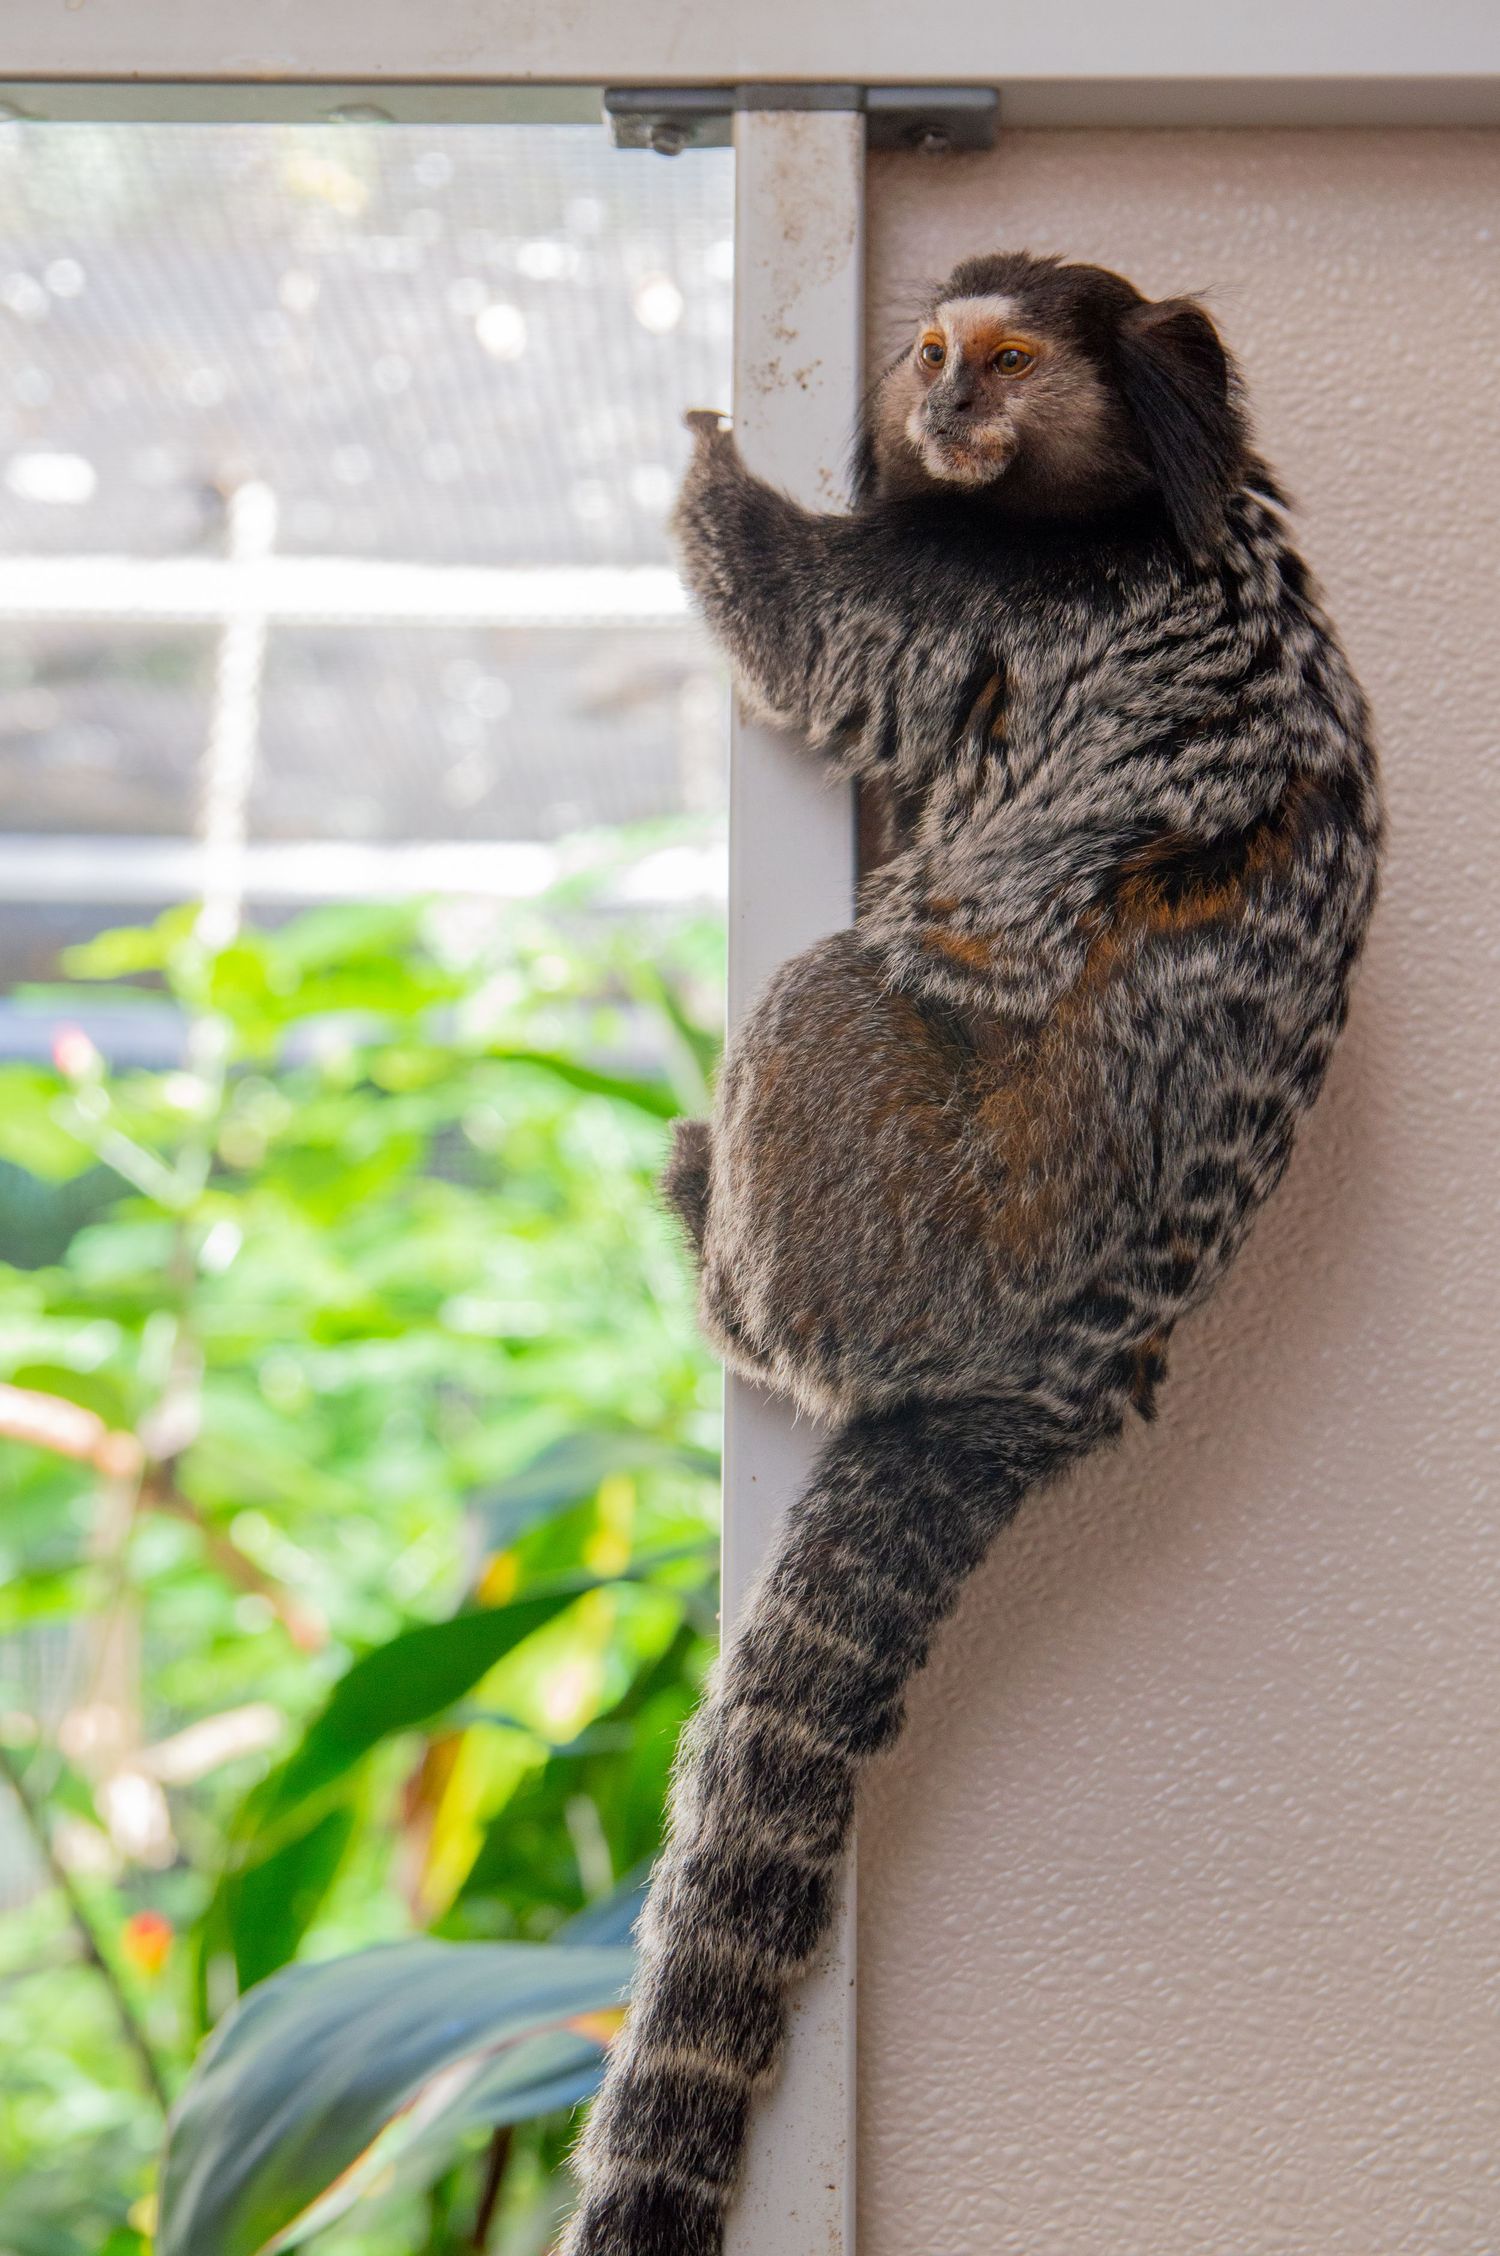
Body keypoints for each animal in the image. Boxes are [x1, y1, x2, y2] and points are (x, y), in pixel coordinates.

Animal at [558, 251, 1381, 2256]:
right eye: (931, 351)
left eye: (1004, 361)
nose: (937, 401)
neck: (1127, 501)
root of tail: (1049, 1372)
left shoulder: (973, 598)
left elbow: (799, 622)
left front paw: (707, 450)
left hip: (913, 1202)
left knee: (829, 1003)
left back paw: (718, 1244)